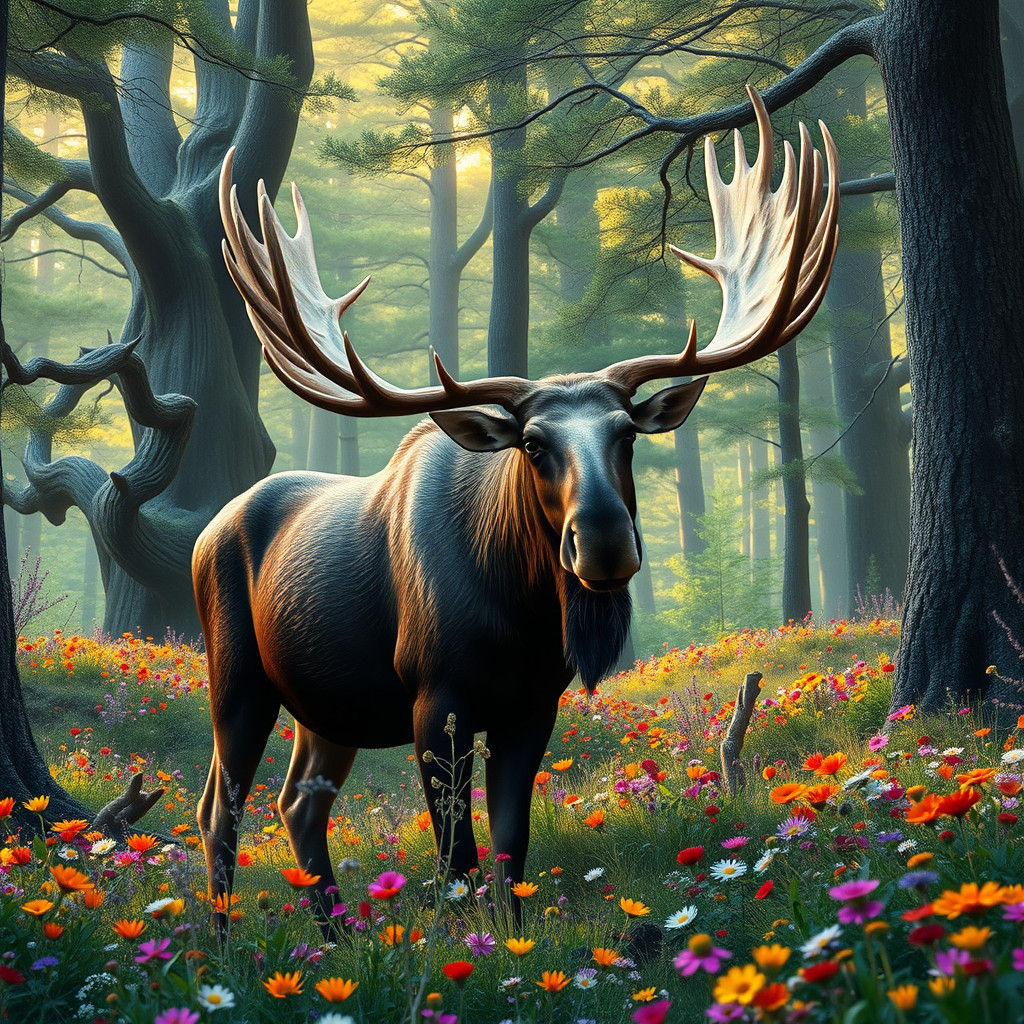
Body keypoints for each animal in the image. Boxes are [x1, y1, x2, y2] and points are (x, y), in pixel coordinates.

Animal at [194, 88, 839, 925]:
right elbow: (457, 857)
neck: (520, 612)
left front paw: (510, 933)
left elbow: (510, 846)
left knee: (299, 804)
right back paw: (221, 938)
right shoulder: (435, 701)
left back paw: (334, 934)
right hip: (237, 678)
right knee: (221, 807)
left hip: (326, 707)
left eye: (627, 433)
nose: (604, 542)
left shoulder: (533, 704)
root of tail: (208, 530)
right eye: (532, 443)